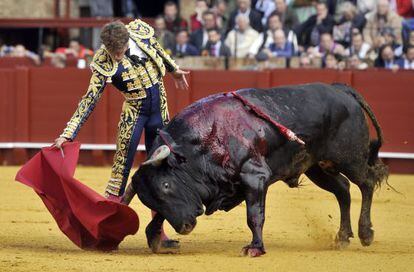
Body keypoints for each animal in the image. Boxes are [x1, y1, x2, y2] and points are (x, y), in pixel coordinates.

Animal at [122, 83, 388, 258]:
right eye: (149, 200)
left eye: (166, 185)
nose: (185, 226)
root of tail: (341, 89)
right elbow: (159, 216)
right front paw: (155, 238)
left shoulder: (255, 176)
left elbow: (254, 215)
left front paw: (255, 248)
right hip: (317, 167)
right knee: (343, 189)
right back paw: (343, 237)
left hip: (349, 158)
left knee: (366, 182)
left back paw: (366, 233)